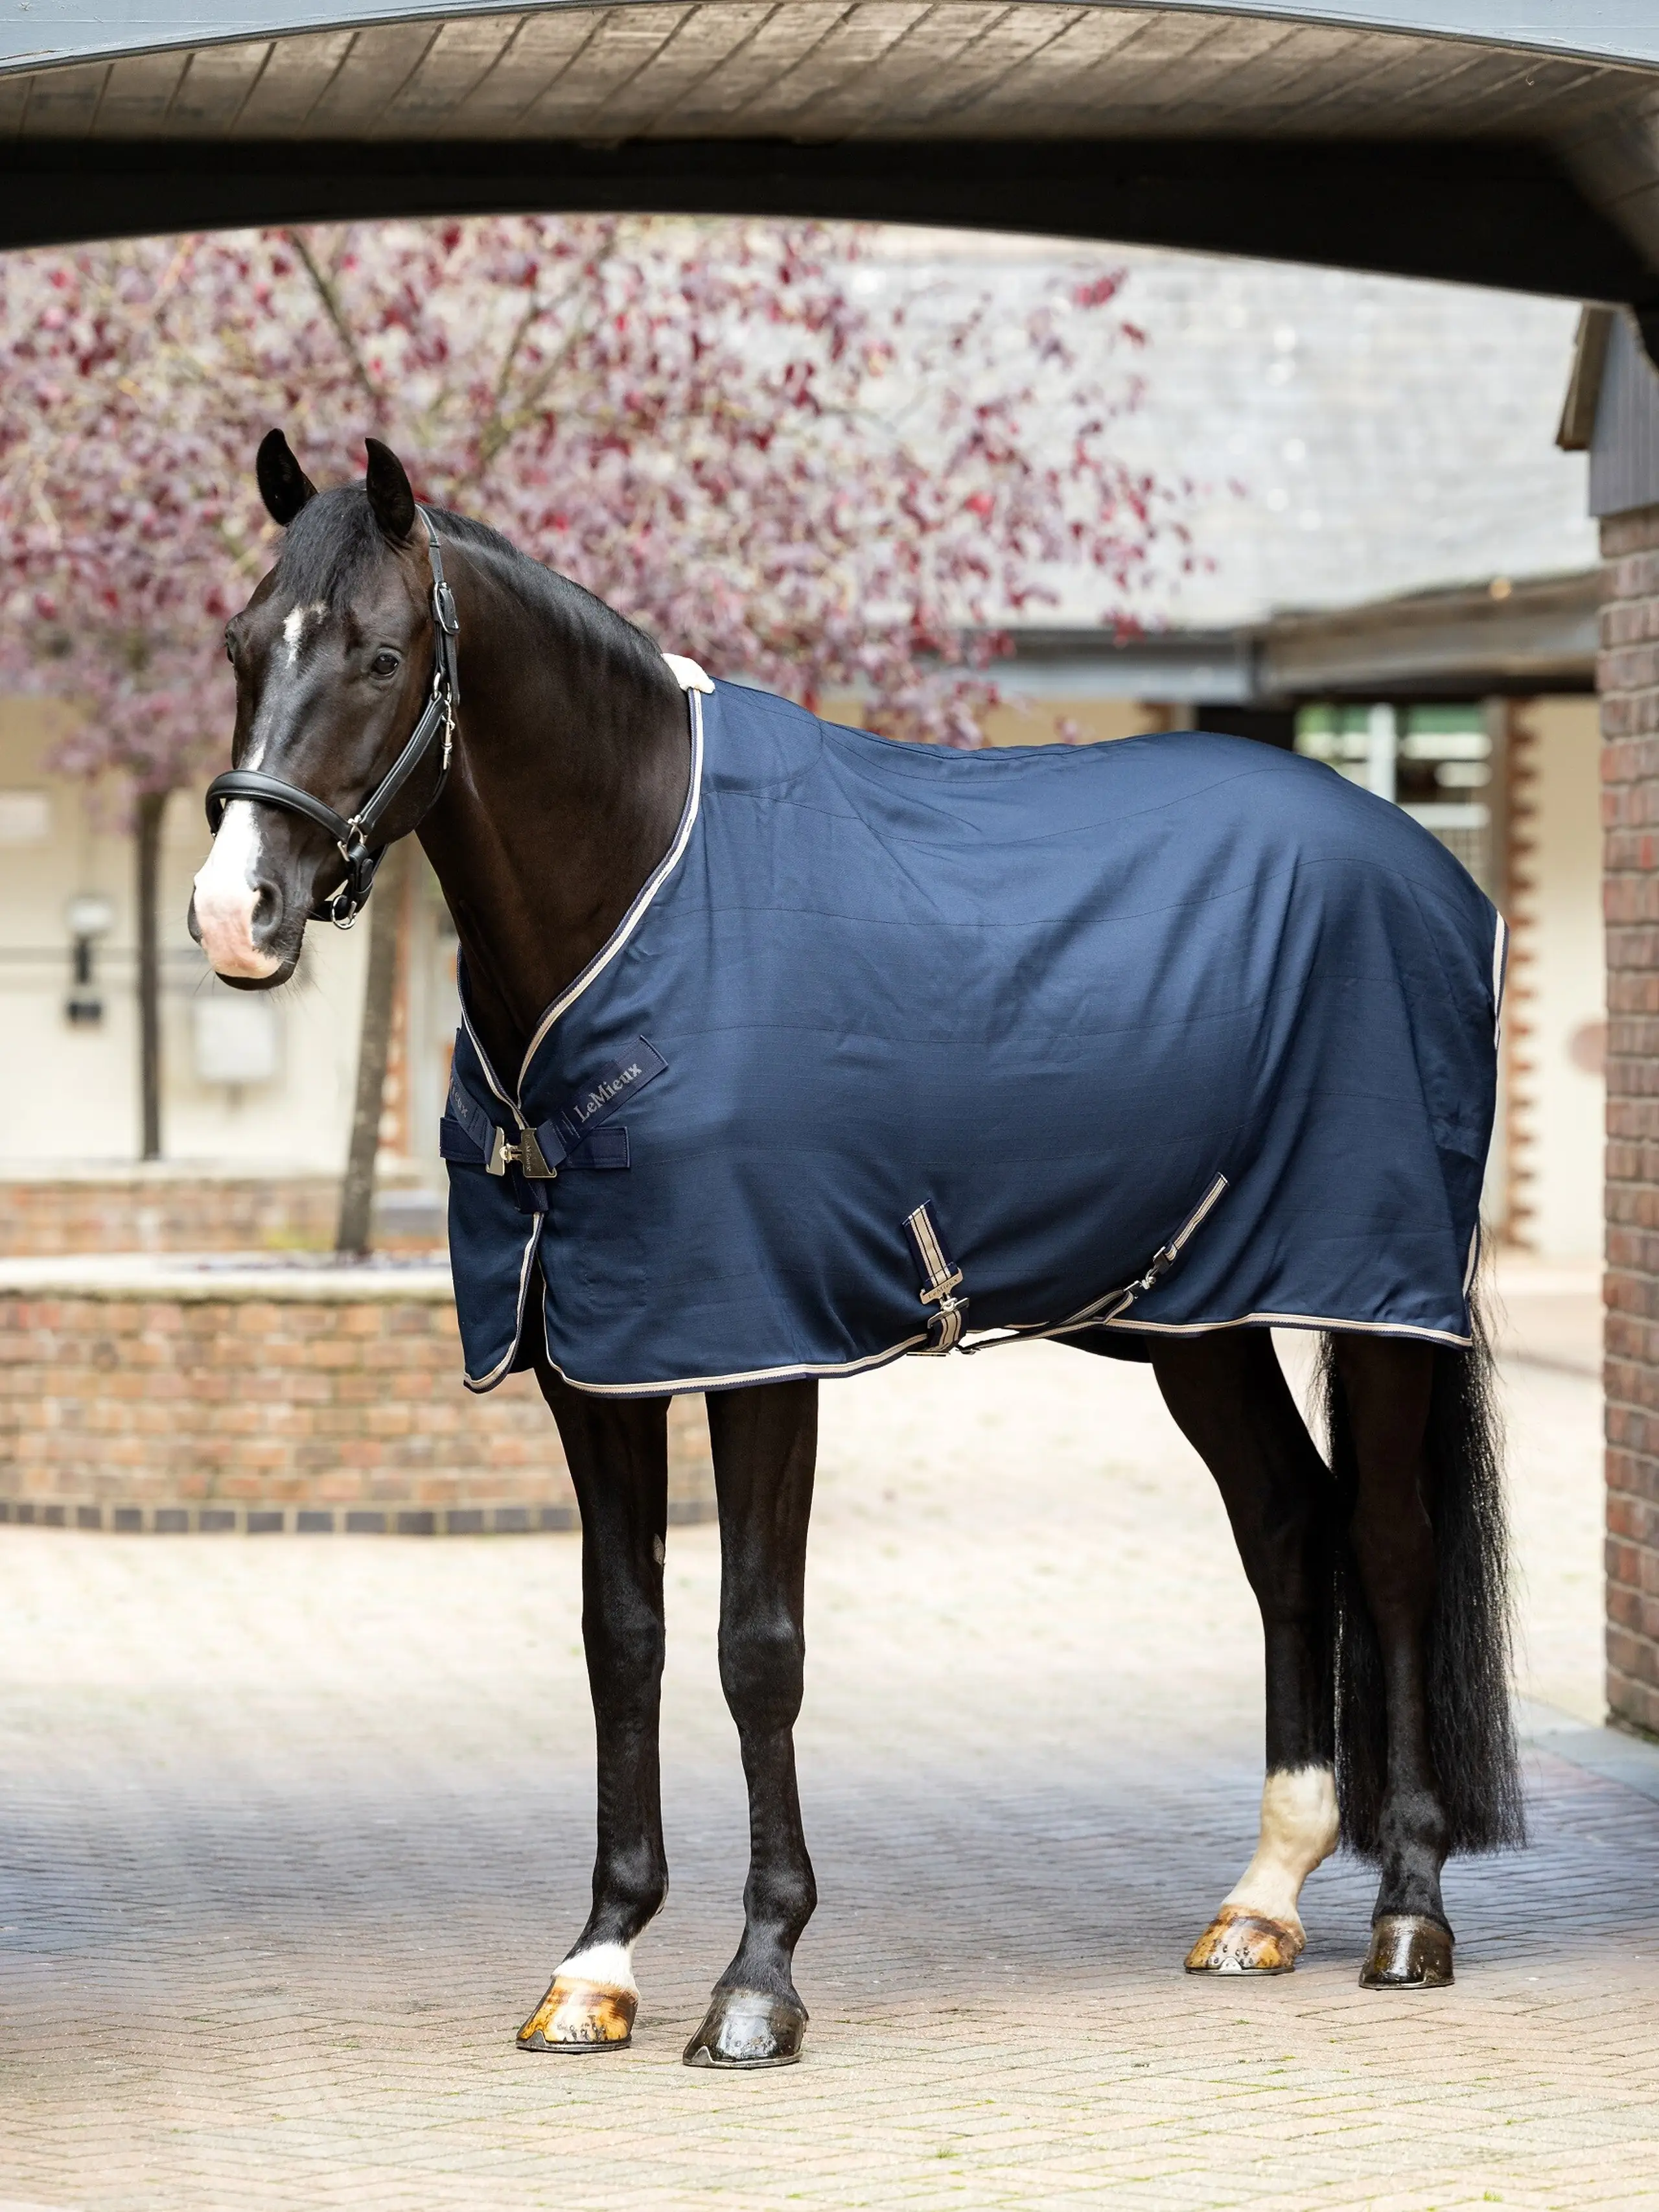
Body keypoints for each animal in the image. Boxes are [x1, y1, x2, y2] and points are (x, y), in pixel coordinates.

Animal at [189, 432, 1521, 2070]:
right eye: (241, 645)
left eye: (381, 654)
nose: (233, 913)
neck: (639, 900)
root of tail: (1424, 871)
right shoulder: (588, 1362)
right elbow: (620, 1635)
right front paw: (597, 1960)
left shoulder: (763, 1348)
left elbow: (756, 1646)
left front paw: (756, 1978)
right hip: (1193, 1317)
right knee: (1285, 1528)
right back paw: (1260, 1895)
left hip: (1374, 1301)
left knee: (1389, 1547)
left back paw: (1406, 1912)